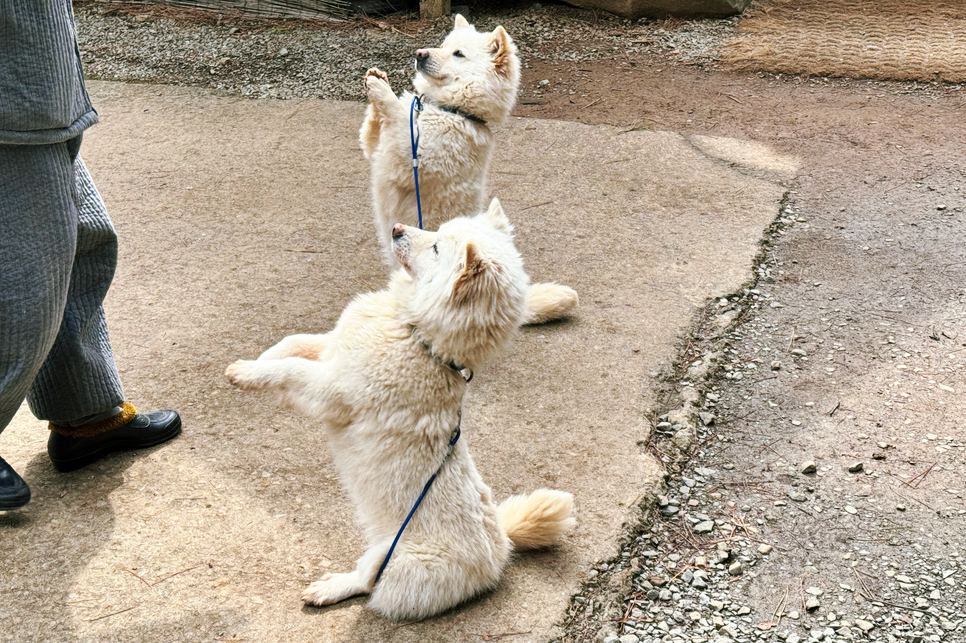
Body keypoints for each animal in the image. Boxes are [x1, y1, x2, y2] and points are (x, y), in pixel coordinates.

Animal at [227, 199, 576, 620]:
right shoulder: (332, 349)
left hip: (390, 558)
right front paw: (255, 361)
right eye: (438, 231)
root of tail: (501, 549)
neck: (419, 335)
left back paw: (330, 588)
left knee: (366, 583)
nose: (395, 228)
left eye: (438, 248)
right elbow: (289, 344)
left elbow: (291, 368)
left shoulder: (331, 393)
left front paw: (246, 374)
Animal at [362, 15, 576, 328]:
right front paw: (378, 77)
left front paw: (381, 90)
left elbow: (398, 116)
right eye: (443, 45)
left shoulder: (409, 156)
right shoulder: (378, 147)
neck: (452, 110)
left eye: (458, 54)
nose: (420, 54)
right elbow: (374, 129)